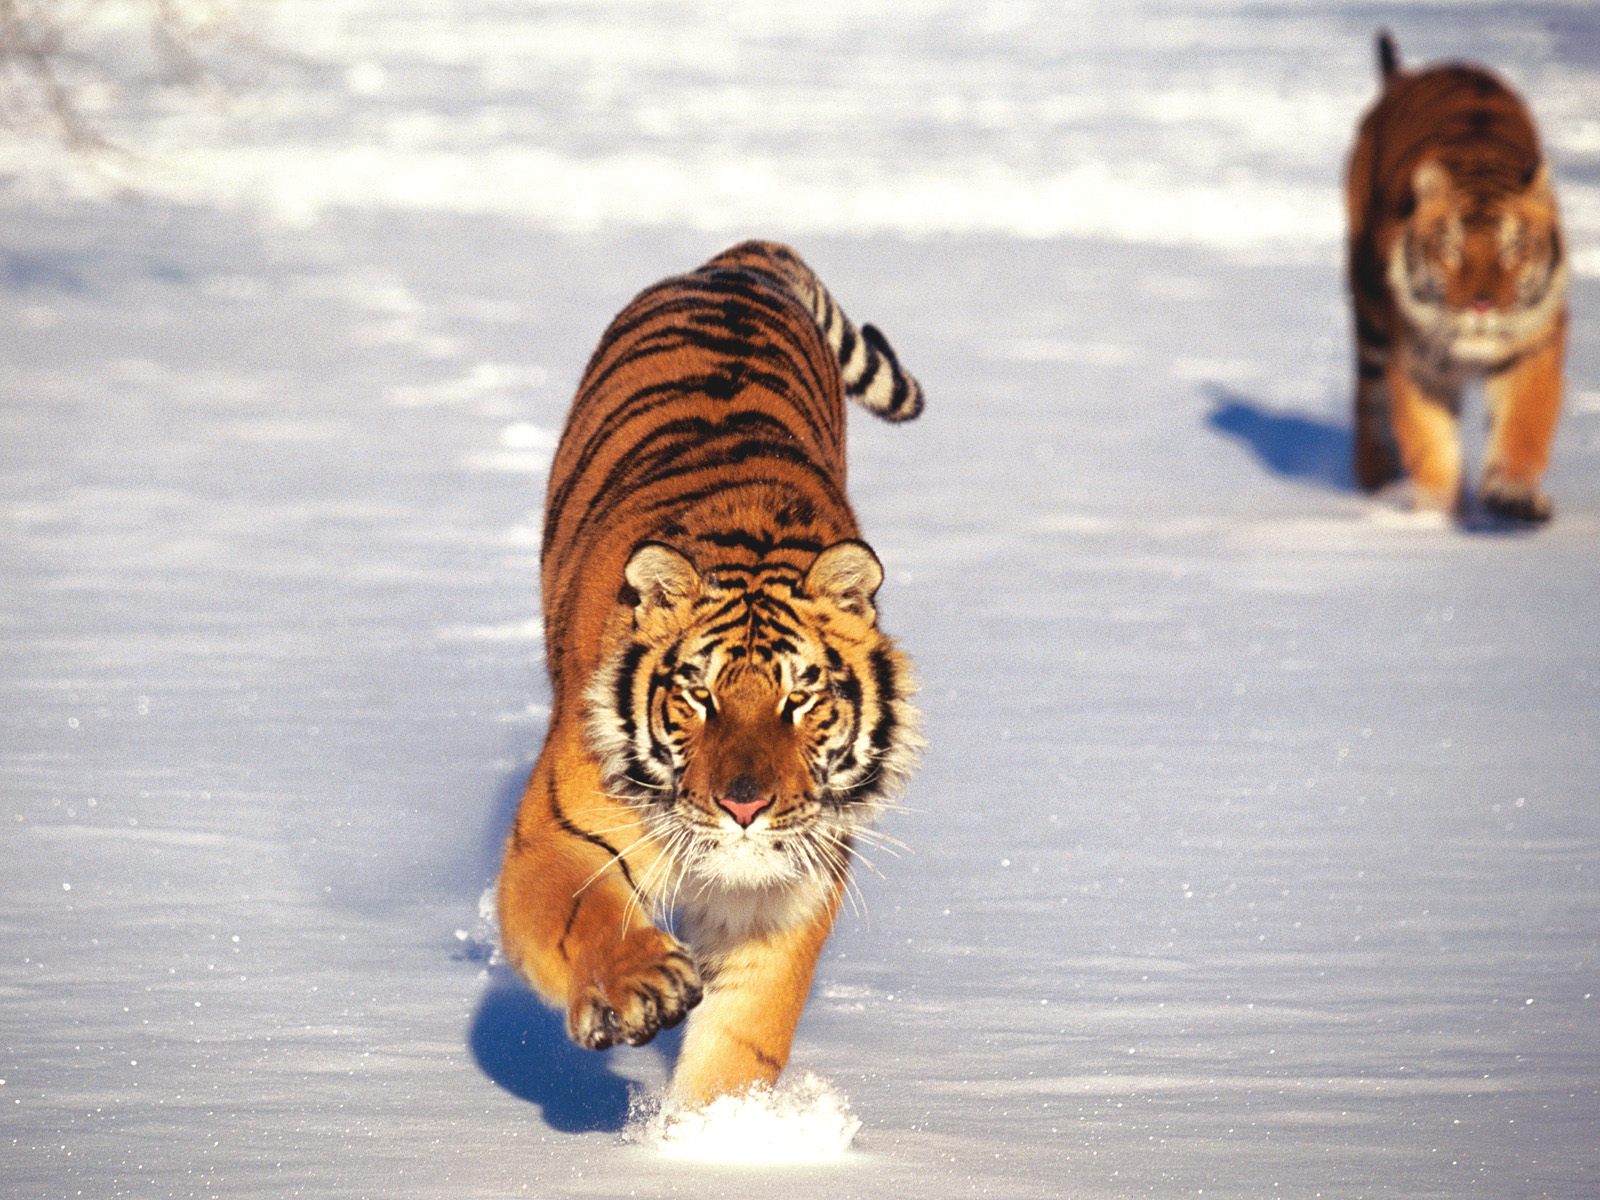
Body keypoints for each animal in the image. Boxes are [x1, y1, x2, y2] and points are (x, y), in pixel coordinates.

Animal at [499, 240, 928, 1113]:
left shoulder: (788, 887)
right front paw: (638, 986)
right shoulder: (553, 840)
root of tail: (738, 258)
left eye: (801, 698)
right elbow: (582, 911)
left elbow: (742, 1040)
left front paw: (712, 1134)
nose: (744, 807)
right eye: (698, 695)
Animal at [1344, 31, 1568, 521]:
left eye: (1513, 249)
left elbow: (1524, 424)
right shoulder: (1416, 362)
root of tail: (1406, 76)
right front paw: (1435, 518)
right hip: (1369, 308)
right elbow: (1432, 446)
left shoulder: (1534, 345)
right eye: (1451, 250)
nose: (1480, 305)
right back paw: (1375, 480)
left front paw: (1513, 494)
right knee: (1367, 394)